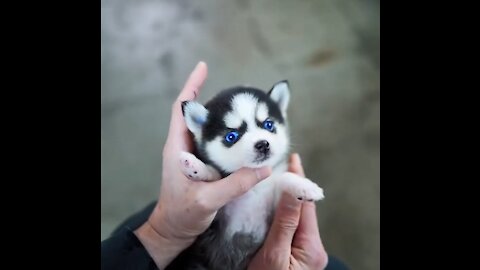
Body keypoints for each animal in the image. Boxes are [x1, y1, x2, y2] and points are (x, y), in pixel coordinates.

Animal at [167, 80, 324, 270]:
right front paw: (195, 166)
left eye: (268, 125)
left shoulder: (272, 210)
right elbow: (214, 174)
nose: (263, 144)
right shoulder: (213, 218)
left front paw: (305, 186)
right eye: (231, 136)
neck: (255, 188)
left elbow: (281, 179)